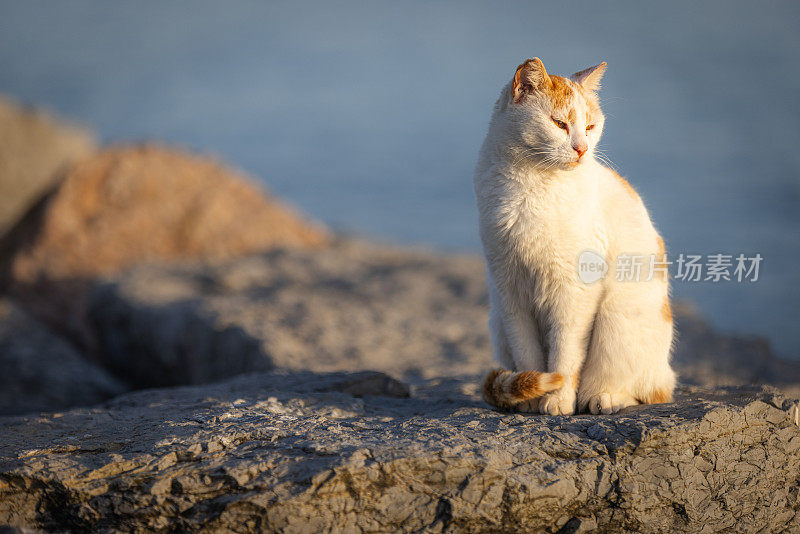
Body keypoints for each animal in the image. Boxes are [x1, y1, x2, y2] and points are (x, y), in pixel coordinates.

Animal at [476, 59, 676, 418]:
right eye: (559, 123)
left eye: (591, 126)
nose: (582, 149)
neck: (532, 184)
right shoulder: (510, 291)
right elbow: (527, 352)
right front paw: (530, 394)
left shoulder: (573, 293)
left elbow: (566, 355)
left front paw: (557, 399)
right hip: (497, 319)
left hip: (617, 321)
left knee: (647, 392)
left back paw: (605, 398)